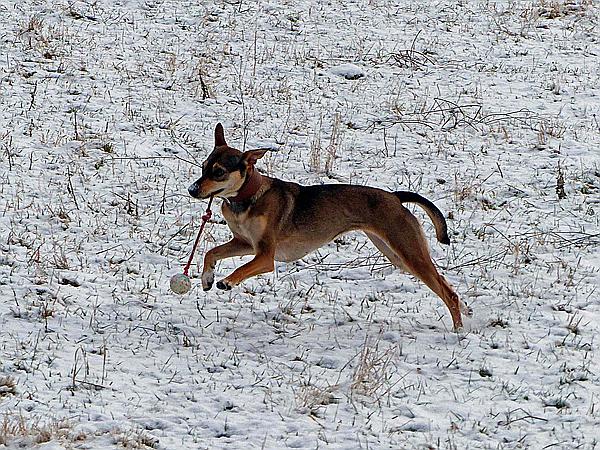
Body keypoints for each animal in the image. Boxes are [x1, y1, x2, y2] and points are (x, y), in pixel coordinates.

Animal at [190, 125, 472, 328]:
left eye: (219, 172)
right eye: (203, 167)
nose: (192, 189)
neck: (247, 199)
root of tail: (394, 197)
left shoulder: (265, 256)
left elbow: (242, 268)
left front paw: (227, 281)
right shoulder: (244, 243)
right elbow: (211, 253)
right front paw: (207, 278)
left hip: (409, 252)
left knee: (448, 293)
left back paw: (459, 331)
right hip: (397, 255)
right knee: (446, 285)